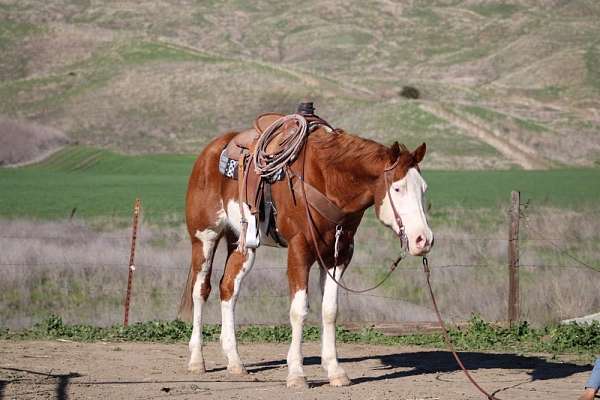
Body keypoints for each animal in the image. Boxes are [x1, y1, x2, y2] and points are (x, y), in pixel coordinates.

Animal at [177, 119, 432, 388]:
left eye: (424, 188)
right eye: (397, 188)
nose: (423, 239)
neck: (328, 181)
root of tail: (209, 153)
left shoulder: (338, 256)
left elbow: (330, 310)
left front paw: (335, 371)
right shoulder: (299, 252)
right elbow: (299, 310)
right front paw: (297, 374)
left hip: (241, 244)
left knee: (228, 289)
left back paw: (235, 362)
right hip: (205, 238)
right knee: (200, 291)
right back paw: (197, 360)